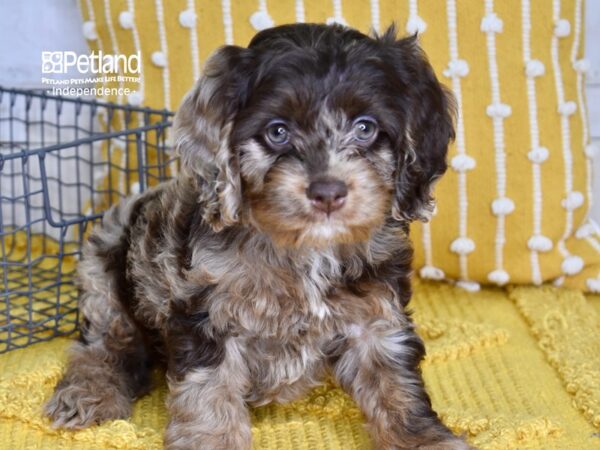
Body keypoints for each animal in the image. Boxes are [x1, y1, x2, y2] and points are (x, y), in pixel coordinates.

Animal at [45, 23, 468, 450]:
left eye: (365, 127)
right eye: (277, 132)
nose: (328, 192)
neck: (304, 247)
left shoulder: (376, 314)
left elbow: (395, 381)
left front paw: (423, 438)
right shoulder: (207, 311)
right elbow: (209, 386)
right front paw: (212, 440)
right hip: (103, 267)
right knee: (103, 346)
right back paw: (88, 393)